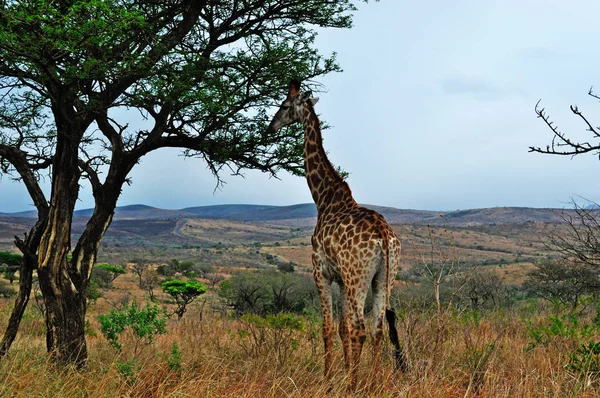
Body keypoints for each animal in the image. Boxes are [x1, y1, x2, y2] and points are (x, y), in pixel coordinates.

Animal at [268, 81, 408, 388]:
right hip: (384, 276)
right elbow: (342, 328)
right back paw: (373, 383)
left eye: (284, 105)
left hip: (359, 276)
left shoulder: (321, 272)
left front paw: (329, 379)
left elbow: (329, 327)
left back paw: (358, 385)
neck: (324, 198)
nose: (270, 127)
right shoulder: (342, 280)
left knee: (361, 328)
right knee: (377, 328)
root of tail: (383, 236)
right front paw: (344, 372)